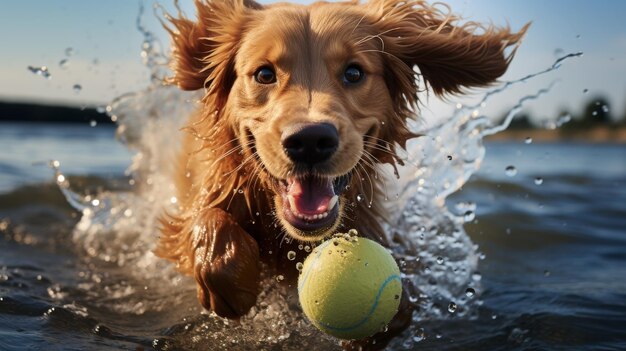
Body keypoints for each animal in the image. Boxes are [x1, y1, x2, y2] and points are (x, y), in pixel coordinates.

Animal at [156, 0, 528, 346]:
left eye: (354, 73)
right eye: (264, 74)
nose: (310, 140)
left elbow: (401, 308)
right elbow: (206, 220)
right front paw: (232, 280)